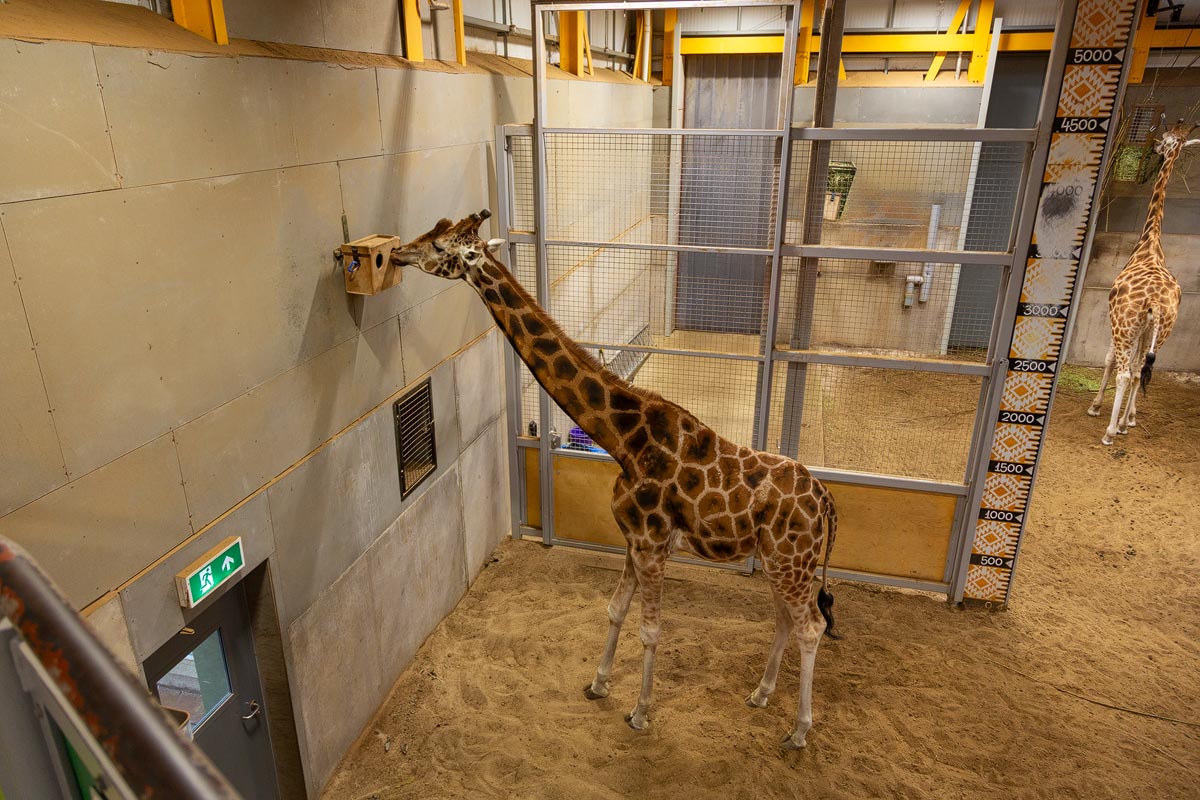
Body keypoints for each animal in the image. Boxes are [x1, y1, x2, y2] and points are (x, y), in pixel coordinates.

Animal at [389, 210, 839, 749]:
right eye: (431, 232)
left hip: (792, 564)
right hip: (780, 563)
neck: (624, 439)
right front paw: (598, 684)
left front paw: (640, 713)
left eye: (439, 246)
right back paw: (760, 694)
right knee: (785, 619)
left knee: (812, 626)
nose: (397, 253)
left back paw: (799, 730)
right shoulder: (631, 541)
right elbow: (615, 610)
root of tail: (829, 504)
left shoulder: (652, 544)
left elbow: (651, 630)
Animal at [1088, 120, 1196, 445]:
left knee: (1127, 371)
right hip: (1160, 331)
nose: (1158, 148)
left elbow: (1110, 359)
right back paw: (1123, 423)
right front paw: (1129, 418)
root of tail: (1157, 301)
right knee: (1139, 371)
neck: (1149, 244)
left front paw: (1098, 407)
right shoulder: (1143, 329)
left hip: (1127, 326)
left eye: (1165, 140)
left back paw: (1110, 431)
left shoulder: (1117, 321)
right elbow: (1137, 368)